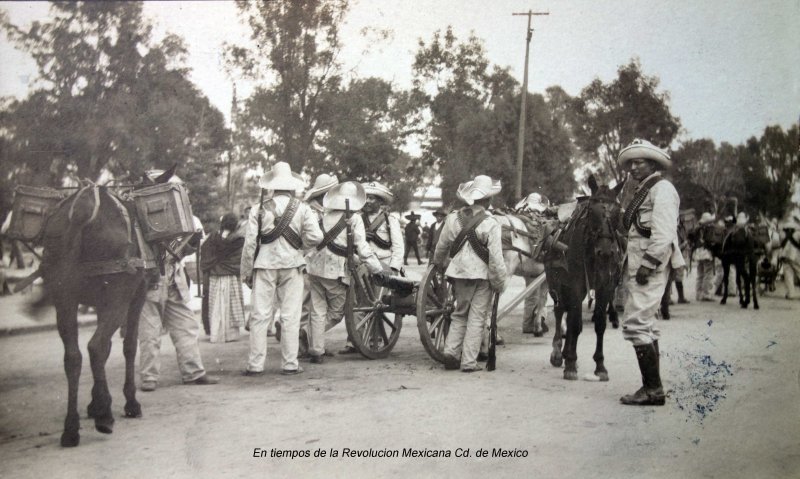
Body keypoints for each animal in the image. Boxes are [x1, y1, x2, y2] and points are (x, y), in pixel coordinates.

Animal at [34, 169, 173, 446]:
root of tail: (83, 206)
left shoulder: (100, 303)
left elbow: (107, 349)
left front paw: (92, 403)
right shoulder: (135, 297)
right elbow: (127, 347)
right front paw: (127, 402)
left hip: (64, 298)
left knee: (73, 356)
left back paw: (71, 427)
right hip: (118, 296)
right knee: (95, 347)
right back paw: (105, 417)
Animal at [536, 176, 624, 382]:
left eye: (617, 211)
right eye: (592, 211)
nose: (605, 252)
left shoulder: (605, 287)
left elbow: (599, 323)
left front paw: (600, 365)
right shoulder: (574, 286)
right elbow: (574, 324)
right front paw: (569, 364)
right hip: (556, 285)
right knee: (560, 311)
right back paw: (558, 353)